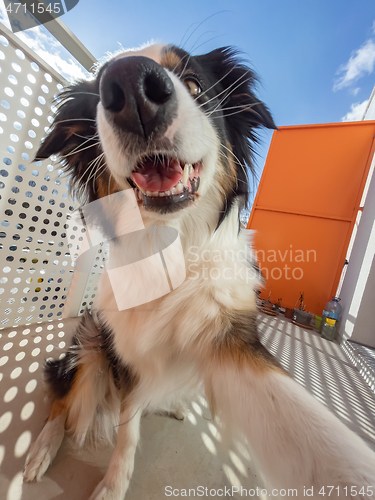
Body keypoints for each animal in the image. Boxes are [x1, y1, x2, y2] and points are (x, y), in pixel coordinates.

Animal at [23, 44, 375, 500]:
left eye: (193, 84)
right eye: (100, 91)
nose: (131, 87)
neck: (170, 248)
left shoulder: (229, 334)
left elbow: (308, 431)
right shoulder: (127, 350)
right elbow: (127, 428)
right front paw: (114, 484)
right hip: (90, 341)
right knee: (63, 399)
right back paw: (41, 450)